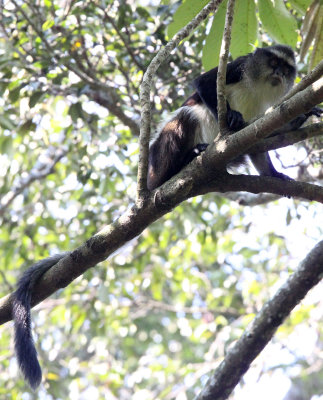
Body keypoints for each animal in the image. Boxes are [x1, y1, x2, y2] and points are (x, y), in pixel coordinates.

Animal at [148, 44, 322, 191]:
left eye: (285, 68)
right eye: (274, 62)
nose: (278, 73)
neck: (259, 86)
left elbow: (258, 134)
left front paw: (274, 174)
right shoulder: (239, 66)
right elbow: (204, 81)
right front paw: (232, 116)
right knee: (185, 116)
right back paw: (187, 158)